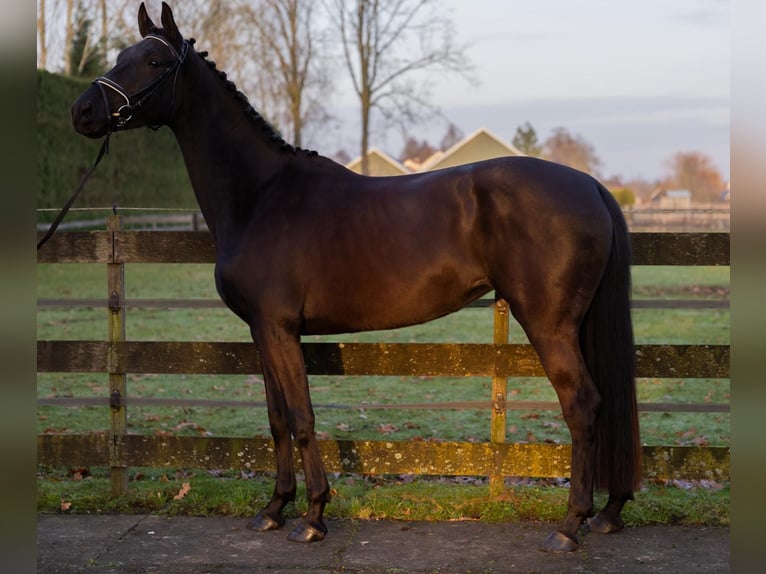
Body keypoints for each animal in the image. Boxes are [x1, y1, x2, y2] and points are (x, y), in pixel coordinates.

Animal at [71, 2, 641, 552]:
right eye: (121, 54)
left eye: (153, 61)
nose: (83, 111)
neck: (261, 195)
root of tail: (590, 185)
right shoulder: (262, 331)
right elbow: (277, 419)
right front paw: (274, 509)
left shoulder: (279, 329)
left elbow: (302, 417)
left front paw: (313, 517)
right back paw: (608, 513)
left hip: (548, 325)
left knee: (582, 405)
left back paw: (569, 525)